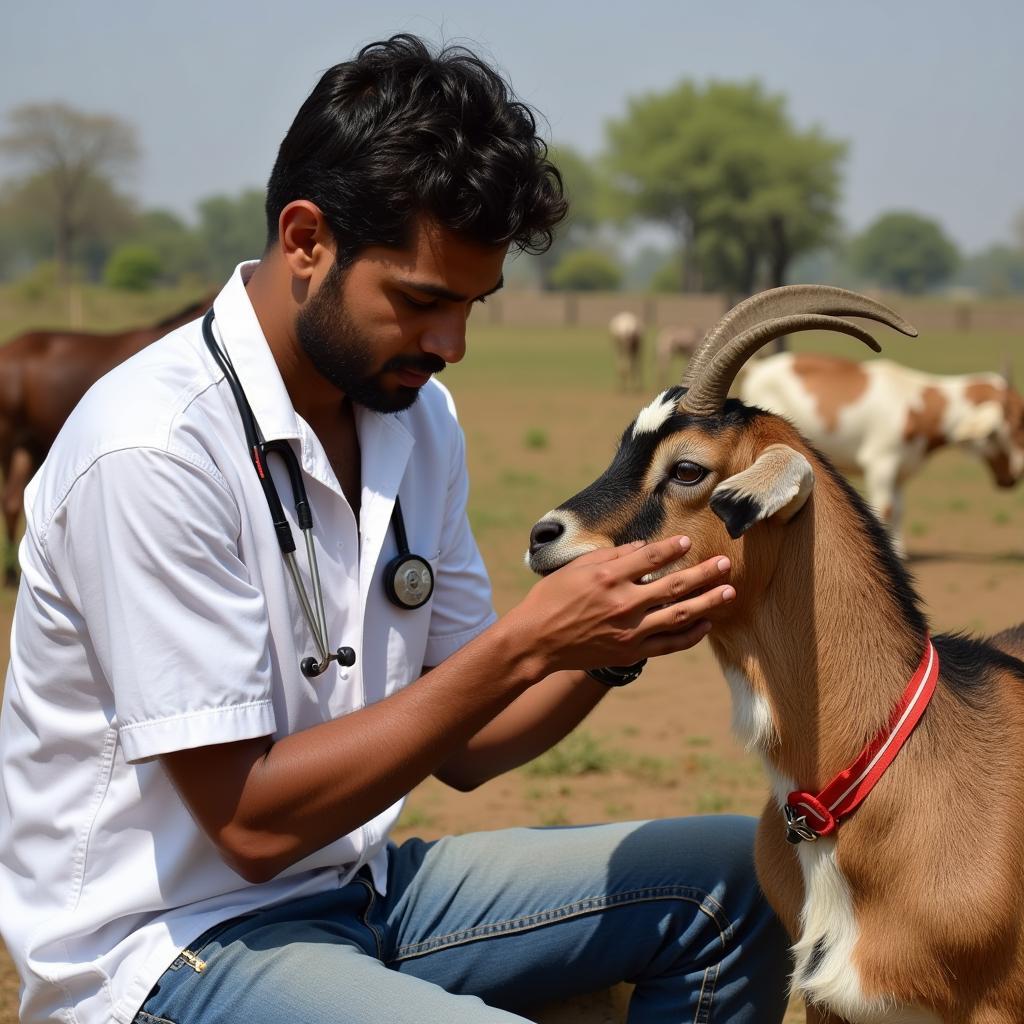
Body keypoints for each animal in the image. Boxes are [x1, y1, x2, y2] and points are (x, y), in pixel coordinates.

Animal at [737, 354, 1024, 561]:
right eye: (1017, 423)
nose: (1013, 476)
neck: (915, 404)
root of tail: (758, 368)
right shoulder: (881, 465)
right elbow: (885, 508)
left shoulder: (901, 471)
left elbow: (899, 509)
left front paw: (900, 553)